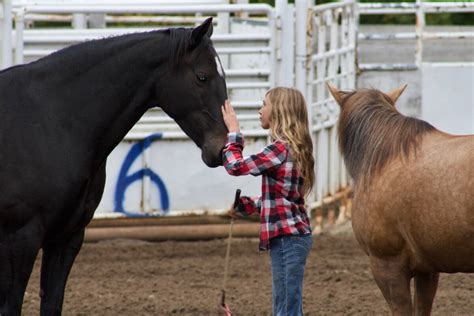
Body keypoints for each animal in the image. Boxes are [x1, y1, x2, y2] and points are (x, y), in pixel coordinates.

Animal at [0, 17, 228, 316]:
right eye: (202, 77)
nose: (223, 147)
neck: (51, 121)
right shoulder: (20, 239)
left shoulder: (66, 237)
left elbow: (52, 303)